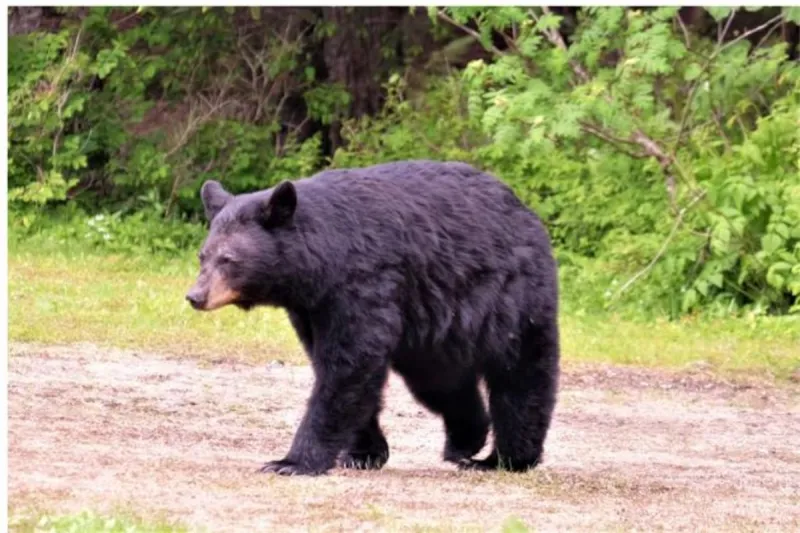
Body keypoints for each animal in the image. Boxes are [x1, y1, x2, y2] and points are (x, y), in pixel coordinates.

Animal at [186, 160, 560, 476]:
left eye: (229, 259)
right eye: (203, 255)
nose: (195, 296)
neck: (322, 264)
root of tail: (527, 212)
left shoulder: (363, 284)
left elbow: (349, 365)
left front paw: (291, 462)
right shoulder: (311, 308)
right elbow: (337, 367)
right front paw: (364, 453)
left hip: (511, 299)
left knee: (520, 375)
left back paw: (506, 458)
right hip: (434, 331)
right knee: (442, 383)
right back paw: (465, 441)